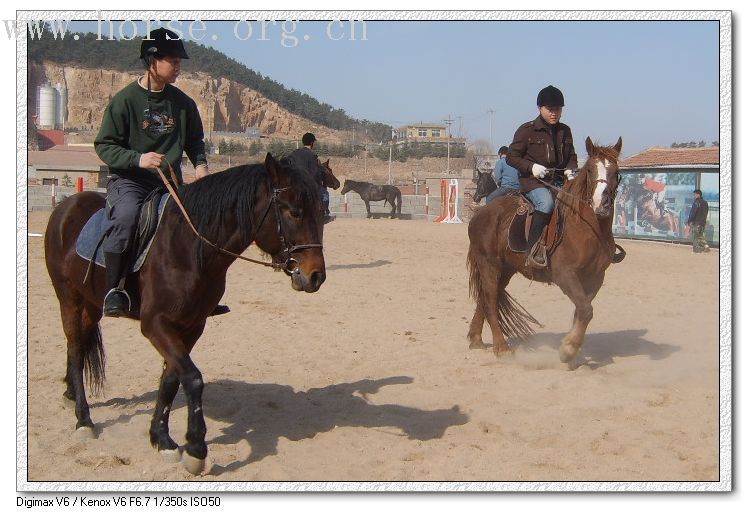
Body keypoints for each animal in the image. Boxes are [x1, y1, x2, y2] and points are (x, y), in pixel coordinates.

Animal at [45, 153, 326, 476]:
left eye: (321, 212)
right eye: (293, 212)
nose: (315, 276)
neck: (190, 247)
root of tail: (65, 207)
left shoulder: (192, 326)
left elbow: (170, 380)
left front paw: (162, 438)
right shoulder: (155, 325)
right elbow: (192, 378)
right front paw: (195, 448)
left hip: (91, 305)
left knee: (77, 345)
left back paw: (70, 395)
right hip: (68, 299)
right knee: (76, 349)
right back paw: (83, 419)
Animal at [468, 138, 624, 366]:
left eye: (616, 171)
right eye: (589, 170)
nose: (601, 204)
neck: (587, 228)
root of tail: (480, 215)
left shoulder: (595, 278)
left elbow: (582, 311)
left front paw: (571, 346)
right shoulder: (565, 275)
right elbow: (586, 310)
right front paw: (568, 349)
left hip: (505, 270)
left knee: (487, 298)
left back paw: (476, 339)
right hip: (489, 265)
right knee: (489, 301)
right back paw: (501, 347)